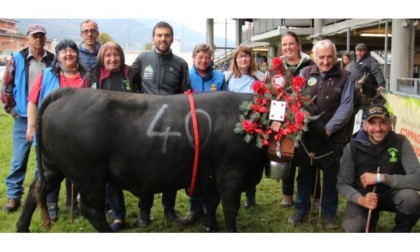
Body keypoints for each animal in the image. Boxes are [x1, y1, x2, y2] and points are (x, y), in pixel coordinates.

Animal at [16, 88, 336, 232]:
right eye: (318, 132)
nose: (333, 158)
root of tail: (68, 92)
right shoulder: (231, 174)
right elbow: (230, 208)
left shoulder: (211, 176)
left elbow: (212, 204)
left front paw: (211, 227)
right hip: (89, 177)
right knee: (91, 210)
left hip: (53, 167)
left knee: (34, 193)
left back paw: (21, 227)